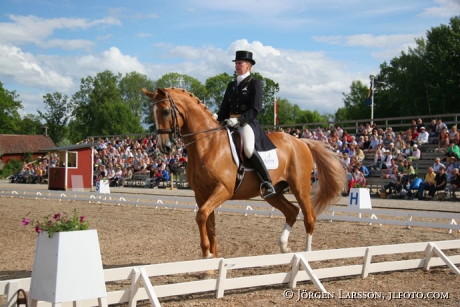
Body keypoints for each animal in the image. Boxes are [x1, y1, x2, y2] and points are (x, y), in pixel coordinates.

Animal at [143, 88, 344, 258]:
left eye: (165, 111)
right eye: (153, 114)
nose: (165, 147)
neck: (208, 144)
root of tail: (301, 141)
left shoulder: (223, 190)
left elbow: (201, 216)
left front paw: (207, 254)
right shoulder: (201, 194)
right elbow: (208, 223)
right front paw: (210, 264)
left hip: (300, 187)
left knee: (309, 216)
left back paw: (306, 255)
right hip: (273, 192)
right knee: (292, 211)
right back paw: (284, 247)